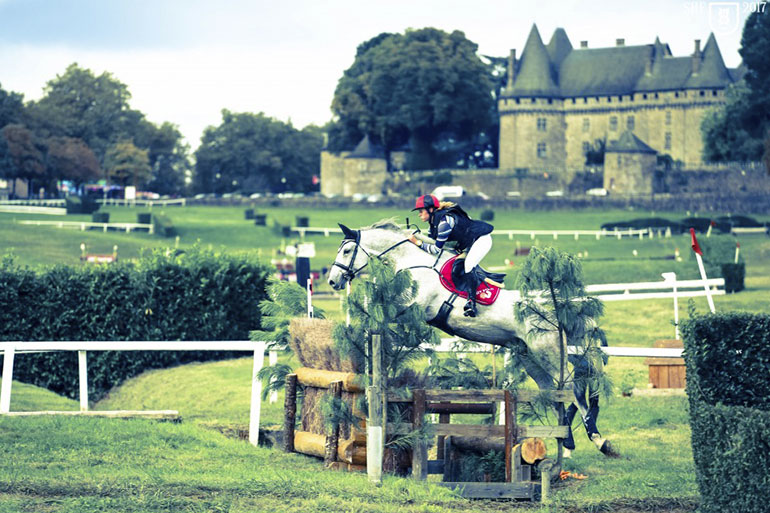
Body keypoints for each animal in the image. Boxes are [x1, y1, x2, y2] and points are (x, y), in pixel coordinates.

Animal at [328, 220, 616, 456]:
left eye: (346, 251)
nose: (332, 281)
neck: (412, 262)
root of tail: (556, 313)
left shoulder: (413, 306)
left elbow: (384, 309)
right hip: (529, 358)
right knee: (553, 391)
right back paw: (565, 441)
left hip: (549, 353)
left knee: (572, 390)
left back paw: (597, 440)